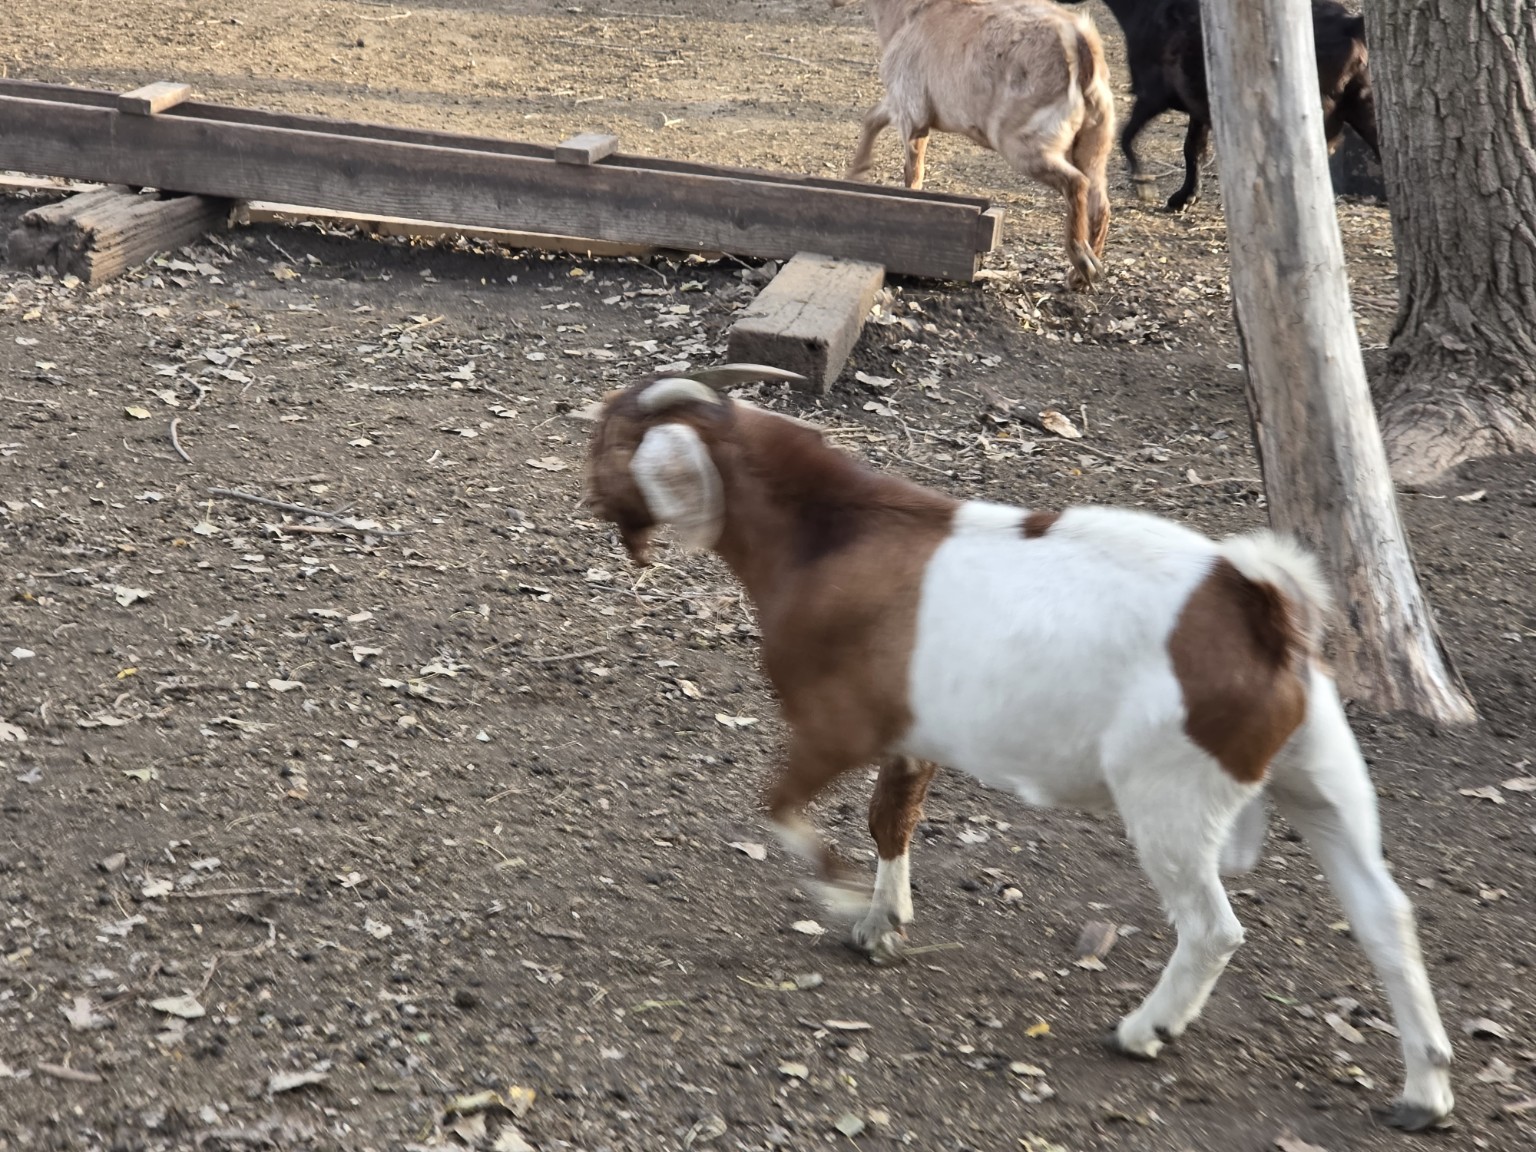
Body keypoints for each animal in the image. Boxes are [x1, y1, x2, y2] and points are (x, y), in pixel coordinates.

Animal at [584, 364, 1455, 1130]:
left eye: (613, 436)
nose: (590, 495)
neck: (828, 531)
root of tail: (1260, 606)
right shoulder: (912, 737)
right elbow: (889, 820)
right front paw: (881, 920)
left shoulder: (835, 726)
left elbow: (781, 808)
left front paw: (845, 900)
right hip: (1323, 776)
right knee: (1385, 914)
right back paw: (1424, 1090)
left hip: (1169, 795)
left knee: (1213, 929)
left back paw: (1144, 1030)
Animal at [832, 0, 1115, 290]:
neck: (911, 12)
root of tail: (1079, 41)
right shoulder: (902, 105)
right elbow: (872, 119)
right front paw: (856, 173)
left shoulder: (911, 111)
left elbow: (913, 171)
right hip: (1094, 142)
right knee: (1100, 204)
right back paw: (1079, 276)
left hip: (1023, 143)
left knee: (1076, 183)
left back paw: (1082, 259)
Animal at [1058, 0, 1379, 212]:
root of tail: (1351, 24)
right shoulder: (1197, 108)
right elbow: (1193, 151)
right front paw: (1186, 196)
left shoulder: (1151, 97)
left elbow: (1126, 137)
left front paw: (1143, 183)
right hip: (1364, 110)